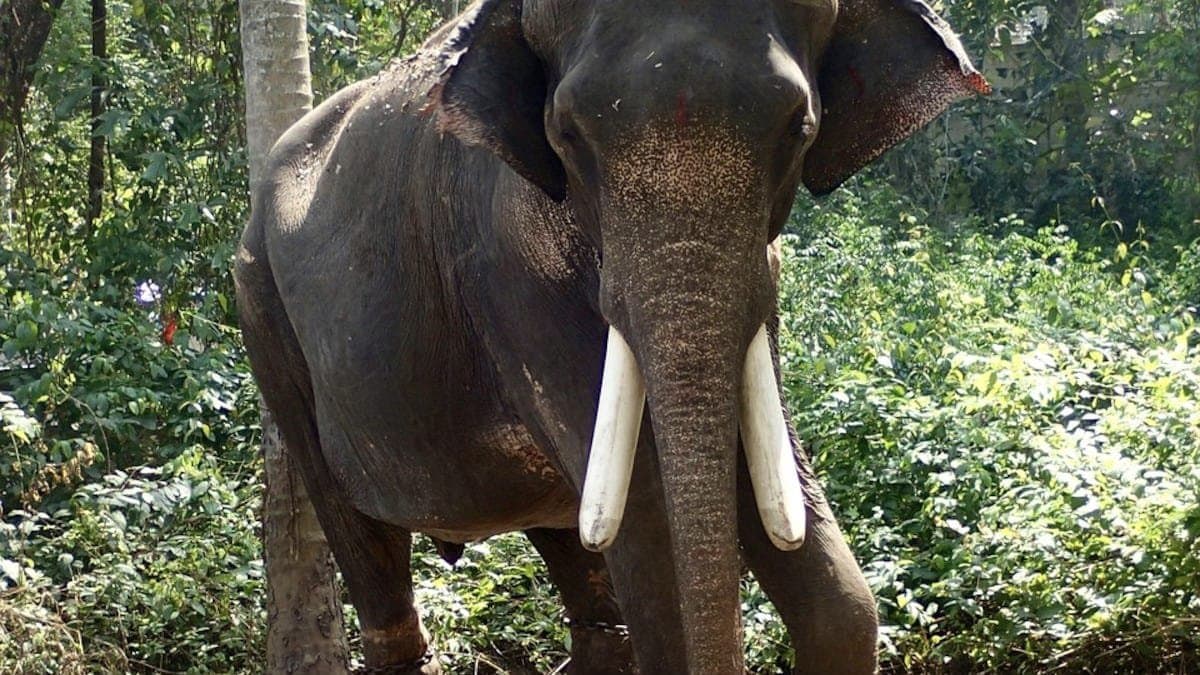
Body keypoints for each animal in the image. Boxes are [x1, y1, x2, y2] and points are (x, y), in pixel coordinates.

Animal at [233, 0, 988, 673]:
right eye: (567, 133)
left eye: (799, 128)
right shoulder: (505, 269)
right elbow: (652, 525)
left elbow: (828, 589)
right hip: (262, 311)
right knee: (366, 545)